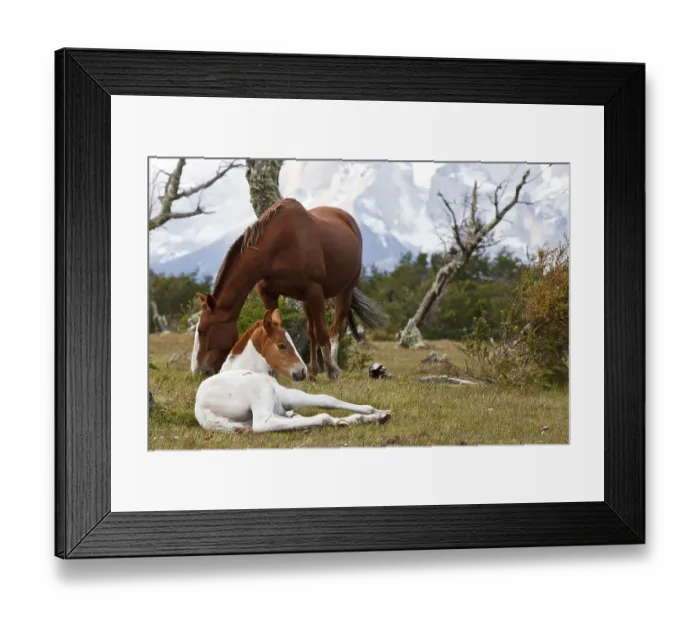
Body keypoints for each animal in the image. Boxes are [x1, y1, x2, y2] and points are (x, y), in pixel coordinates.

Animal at [190, 198, 389, 380]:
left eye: (202, 330)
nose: (198, 371)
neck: (280, 245)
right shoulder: (268, 293)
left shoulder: (315, 290)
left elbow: (323, 333)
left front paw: (331, 372)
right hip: (305, 299)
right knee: (311, 330)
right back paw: (313, 371)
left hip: (344, 291)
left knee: (334, 329)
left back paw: (333, 366)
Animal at [194, 308, 392, 433]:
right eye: (281, 345)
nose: (302, 371)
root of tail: (202, 408)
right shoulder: (285, 394)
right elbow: (327, 399)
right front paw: (373, 411)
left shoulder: (282, 406)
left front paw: (376, 414)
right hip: (262, 401)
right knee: (264, 424)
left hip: (246, 421)